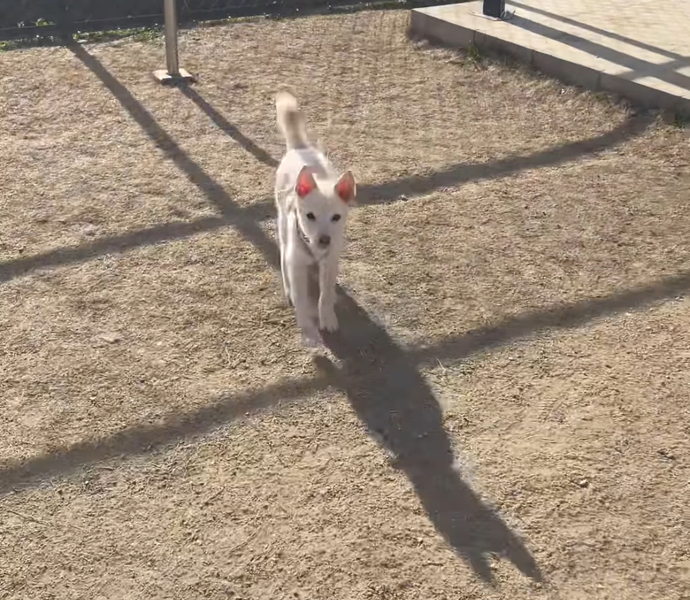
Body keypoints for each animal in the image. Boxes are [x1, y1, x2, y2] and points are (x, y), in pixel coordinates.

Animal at [274, 90, 356, 347]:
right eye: (309, 216)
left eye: (336, 217)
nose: (324, 240)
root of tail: (300, 147)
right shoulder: (297, 264)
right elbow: (301, 299)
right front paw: (308, 329)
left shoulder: (330, 262)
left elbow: (325, 295)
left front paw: (327, 317)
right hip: (282, 224)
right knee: (283, 252)